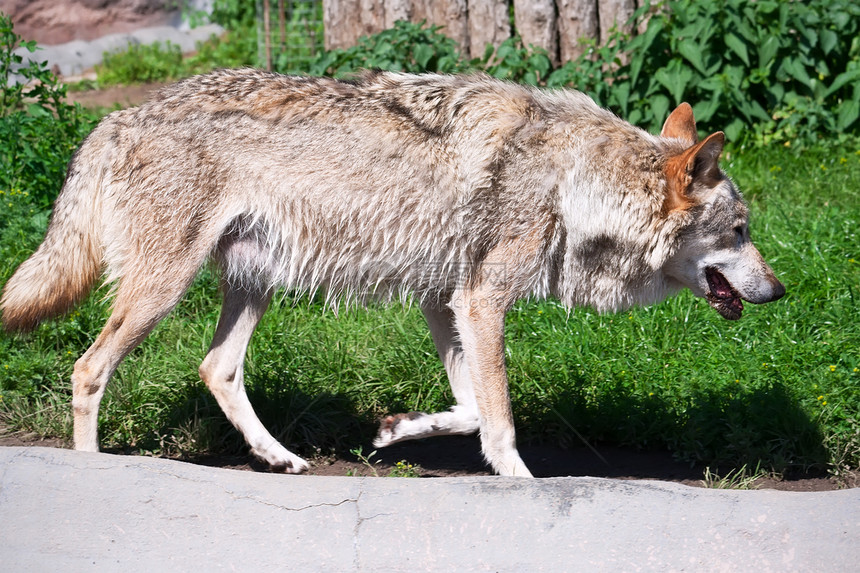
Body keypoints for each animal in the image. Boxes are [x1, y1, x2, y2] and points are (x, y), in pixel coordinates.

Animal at [0, 69, 788, 476]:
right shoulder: (481, 301)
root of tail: (118, 118)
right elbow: (501, 419)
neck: (574, 183)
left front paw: (394, 429)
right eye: (740, 232)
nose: (781, 289)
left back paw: (282, 458)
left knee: (216, 369)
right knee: (88, 368)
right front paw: (523, 484)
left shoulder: (447, 303)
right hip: (164, 291)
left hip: (254, 284)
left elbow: (470, 407)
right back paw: (92, 475)